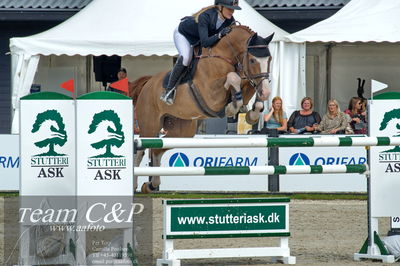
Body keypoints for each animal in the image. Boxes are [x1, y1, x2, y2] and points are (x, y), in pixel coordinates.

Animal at [133, 25, 274, 193]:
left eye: (270, 59)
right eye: (252, 60)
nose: (266, 92)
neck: (226, 56)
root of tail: (148, 83)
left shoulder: (246, 80)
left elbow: (246, 85)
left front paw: (251, 114)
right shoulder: (211, 94)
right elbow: (233, 78)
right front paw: (231, 108)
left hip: (183, 132)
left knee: (157, 149)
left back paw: (152, 184)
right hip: (150, 125)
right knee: (141, 149)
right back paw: (135, 185)